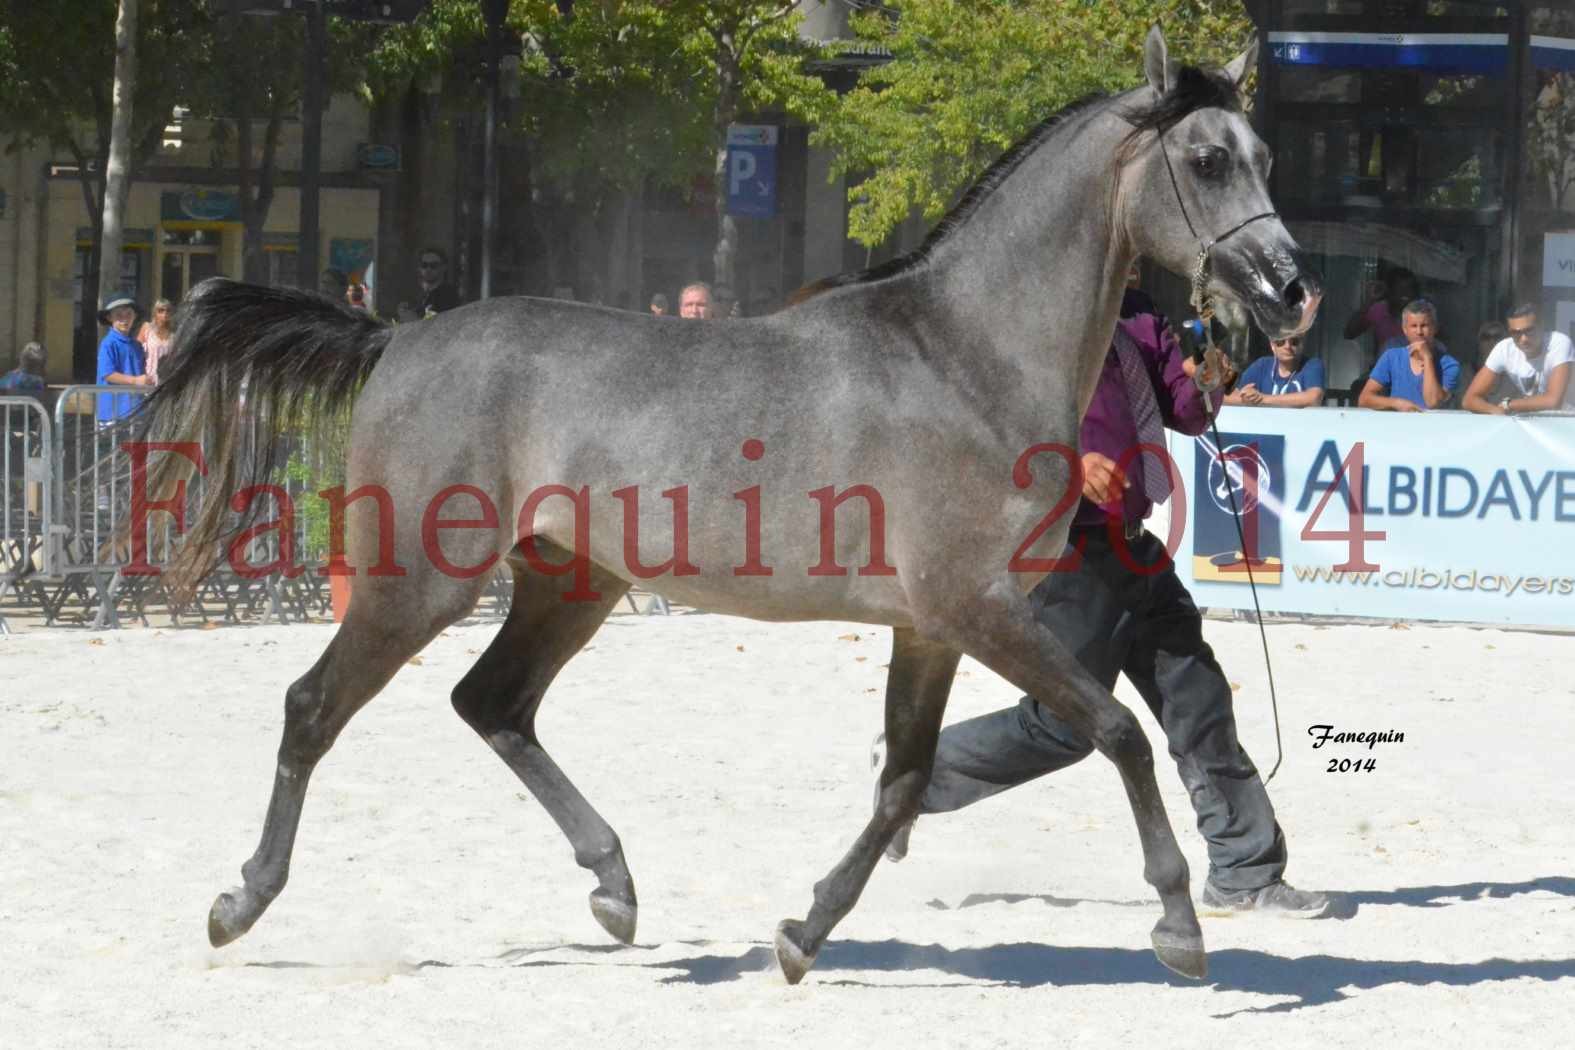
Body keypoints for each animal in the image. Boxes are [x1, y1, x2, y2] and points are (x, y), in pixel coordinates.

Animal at [132, 26, 1316, 988]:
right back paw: (240, 903)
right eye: (1206, 159)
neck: (962, 354)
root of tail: (395, 338)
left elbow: (903, 780)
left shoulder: (931, 627)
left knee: (493, 703)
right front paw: (1178, 929)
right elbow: (1118, 732)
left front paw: (800, 934)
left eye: (1264, 156)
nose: (1287, 292)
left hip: (570, 584)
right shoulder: (975, 606)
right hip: (416, 579)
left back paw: (614, 889)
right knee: (314, 707)